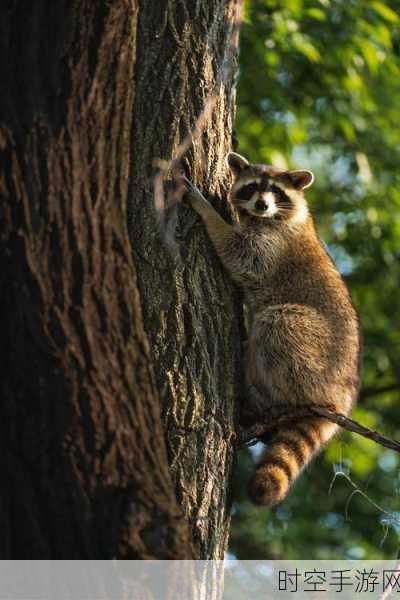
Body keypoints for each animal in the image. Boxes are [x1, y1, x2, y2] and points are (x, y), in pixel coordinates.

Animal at [183, 154, 360, 506]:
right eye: (252, 187)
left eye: (276, 192)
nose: (262, 205)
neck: (266, 217)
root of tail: (341, 396)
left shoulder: (273, 243)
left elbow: (238, 252)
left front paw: (206, 210)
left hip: (315, 351)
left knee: (276, 325)